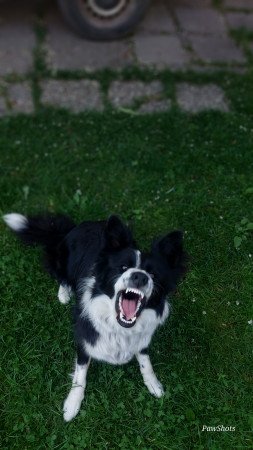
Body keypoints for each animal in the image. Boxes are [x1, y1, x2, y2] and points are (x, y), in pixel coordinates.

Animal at [2, 213, 187, 420]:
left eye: (153, 274)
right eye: (123, 267)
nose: (140, 276)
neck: (118, 327)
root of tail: (72, 228)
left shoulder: (142, 338)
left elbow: (145, 361)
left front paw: (154, 384)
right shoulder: (83, 340)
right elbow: (80, 374)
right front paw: (72, 404)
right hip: (60, 260)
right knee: (62, 277)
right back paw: (64, 293)